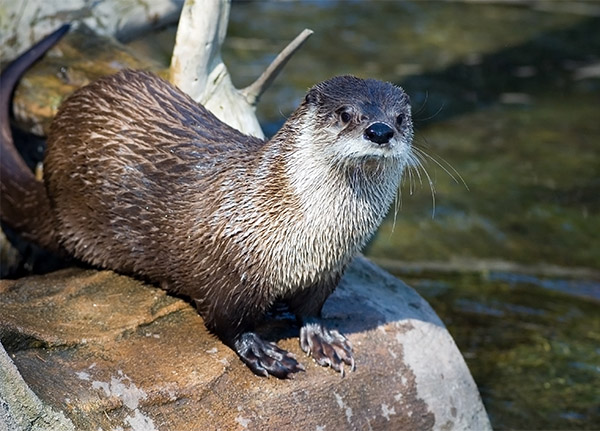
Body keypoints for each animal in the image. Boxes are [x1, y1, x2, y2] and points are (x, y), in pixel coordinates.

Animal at [1, 27, 412, 380]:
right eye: (345, 114)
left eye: (400, 118)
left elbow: (311, 309)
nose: (380, 131)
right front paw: (261, 352)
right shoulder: (228, 270)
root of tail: (51, 194)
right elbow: (226, 322)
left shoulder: (328, 271)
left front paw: (323, 338)